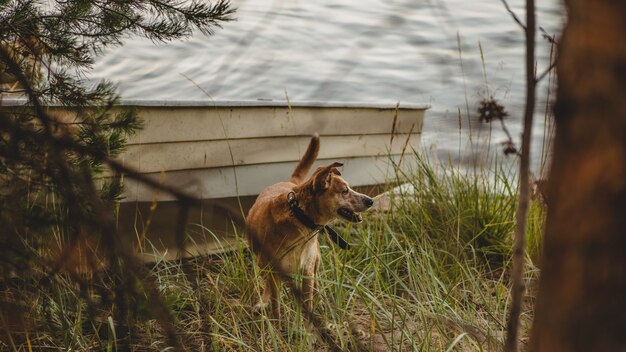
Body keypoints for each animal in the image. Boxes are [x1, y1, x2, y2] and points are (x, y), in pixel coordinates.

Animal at [244, 133, 370, 318]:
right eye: (345, 191)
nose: (371, 201)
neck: (299, 217)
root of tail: (289, 181)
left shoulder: (307, 271)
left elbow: (308, 302)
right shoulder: (275, 271)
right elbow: (276, 306)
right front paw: (277, 322)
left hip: (314, 262)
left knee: (316, 285)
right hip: (262, 262)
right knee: (267, 281)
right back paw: (263, 301)